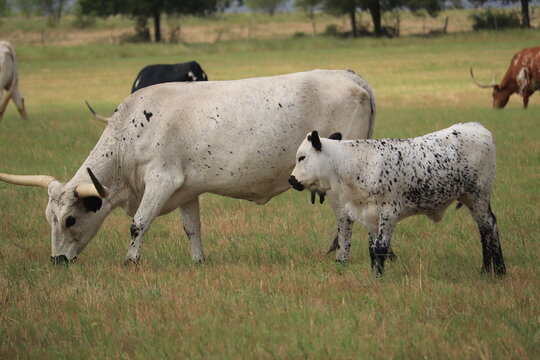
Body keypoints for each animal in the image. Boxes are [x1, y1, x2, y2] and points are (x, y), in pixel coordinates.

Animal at [0, 69, 376, 262]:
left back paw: (342, 254)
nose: (57, 260)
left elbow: (138, 224)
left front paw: (131, 261)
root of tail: (351, 77)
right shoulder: (185, 190)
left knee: (347, 216)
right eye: (49, 219)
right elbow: (191, 229)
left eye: (70, 219)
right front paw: (198, 261)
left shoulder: (161, 180)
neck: (130, 132)